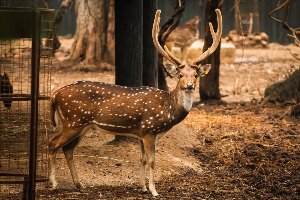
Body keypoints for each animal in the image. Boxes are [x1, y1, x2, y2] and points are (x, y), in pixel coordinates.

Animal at [48, 9, 223, 195]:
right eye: (180, 75)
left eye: (196, 75)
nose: (189, 85)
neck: (168, 109)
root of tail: (55, 95)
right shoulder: (149, 130)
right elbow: (152, 161)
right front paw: (154, 190)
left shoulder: (140, 133)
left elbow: (142, 159)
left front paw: (143, 187)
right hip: (73, 121)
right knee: (53, 143)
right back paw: (54, 183)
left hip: (83, 125)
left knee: (67, 149)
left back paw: (79, 184)